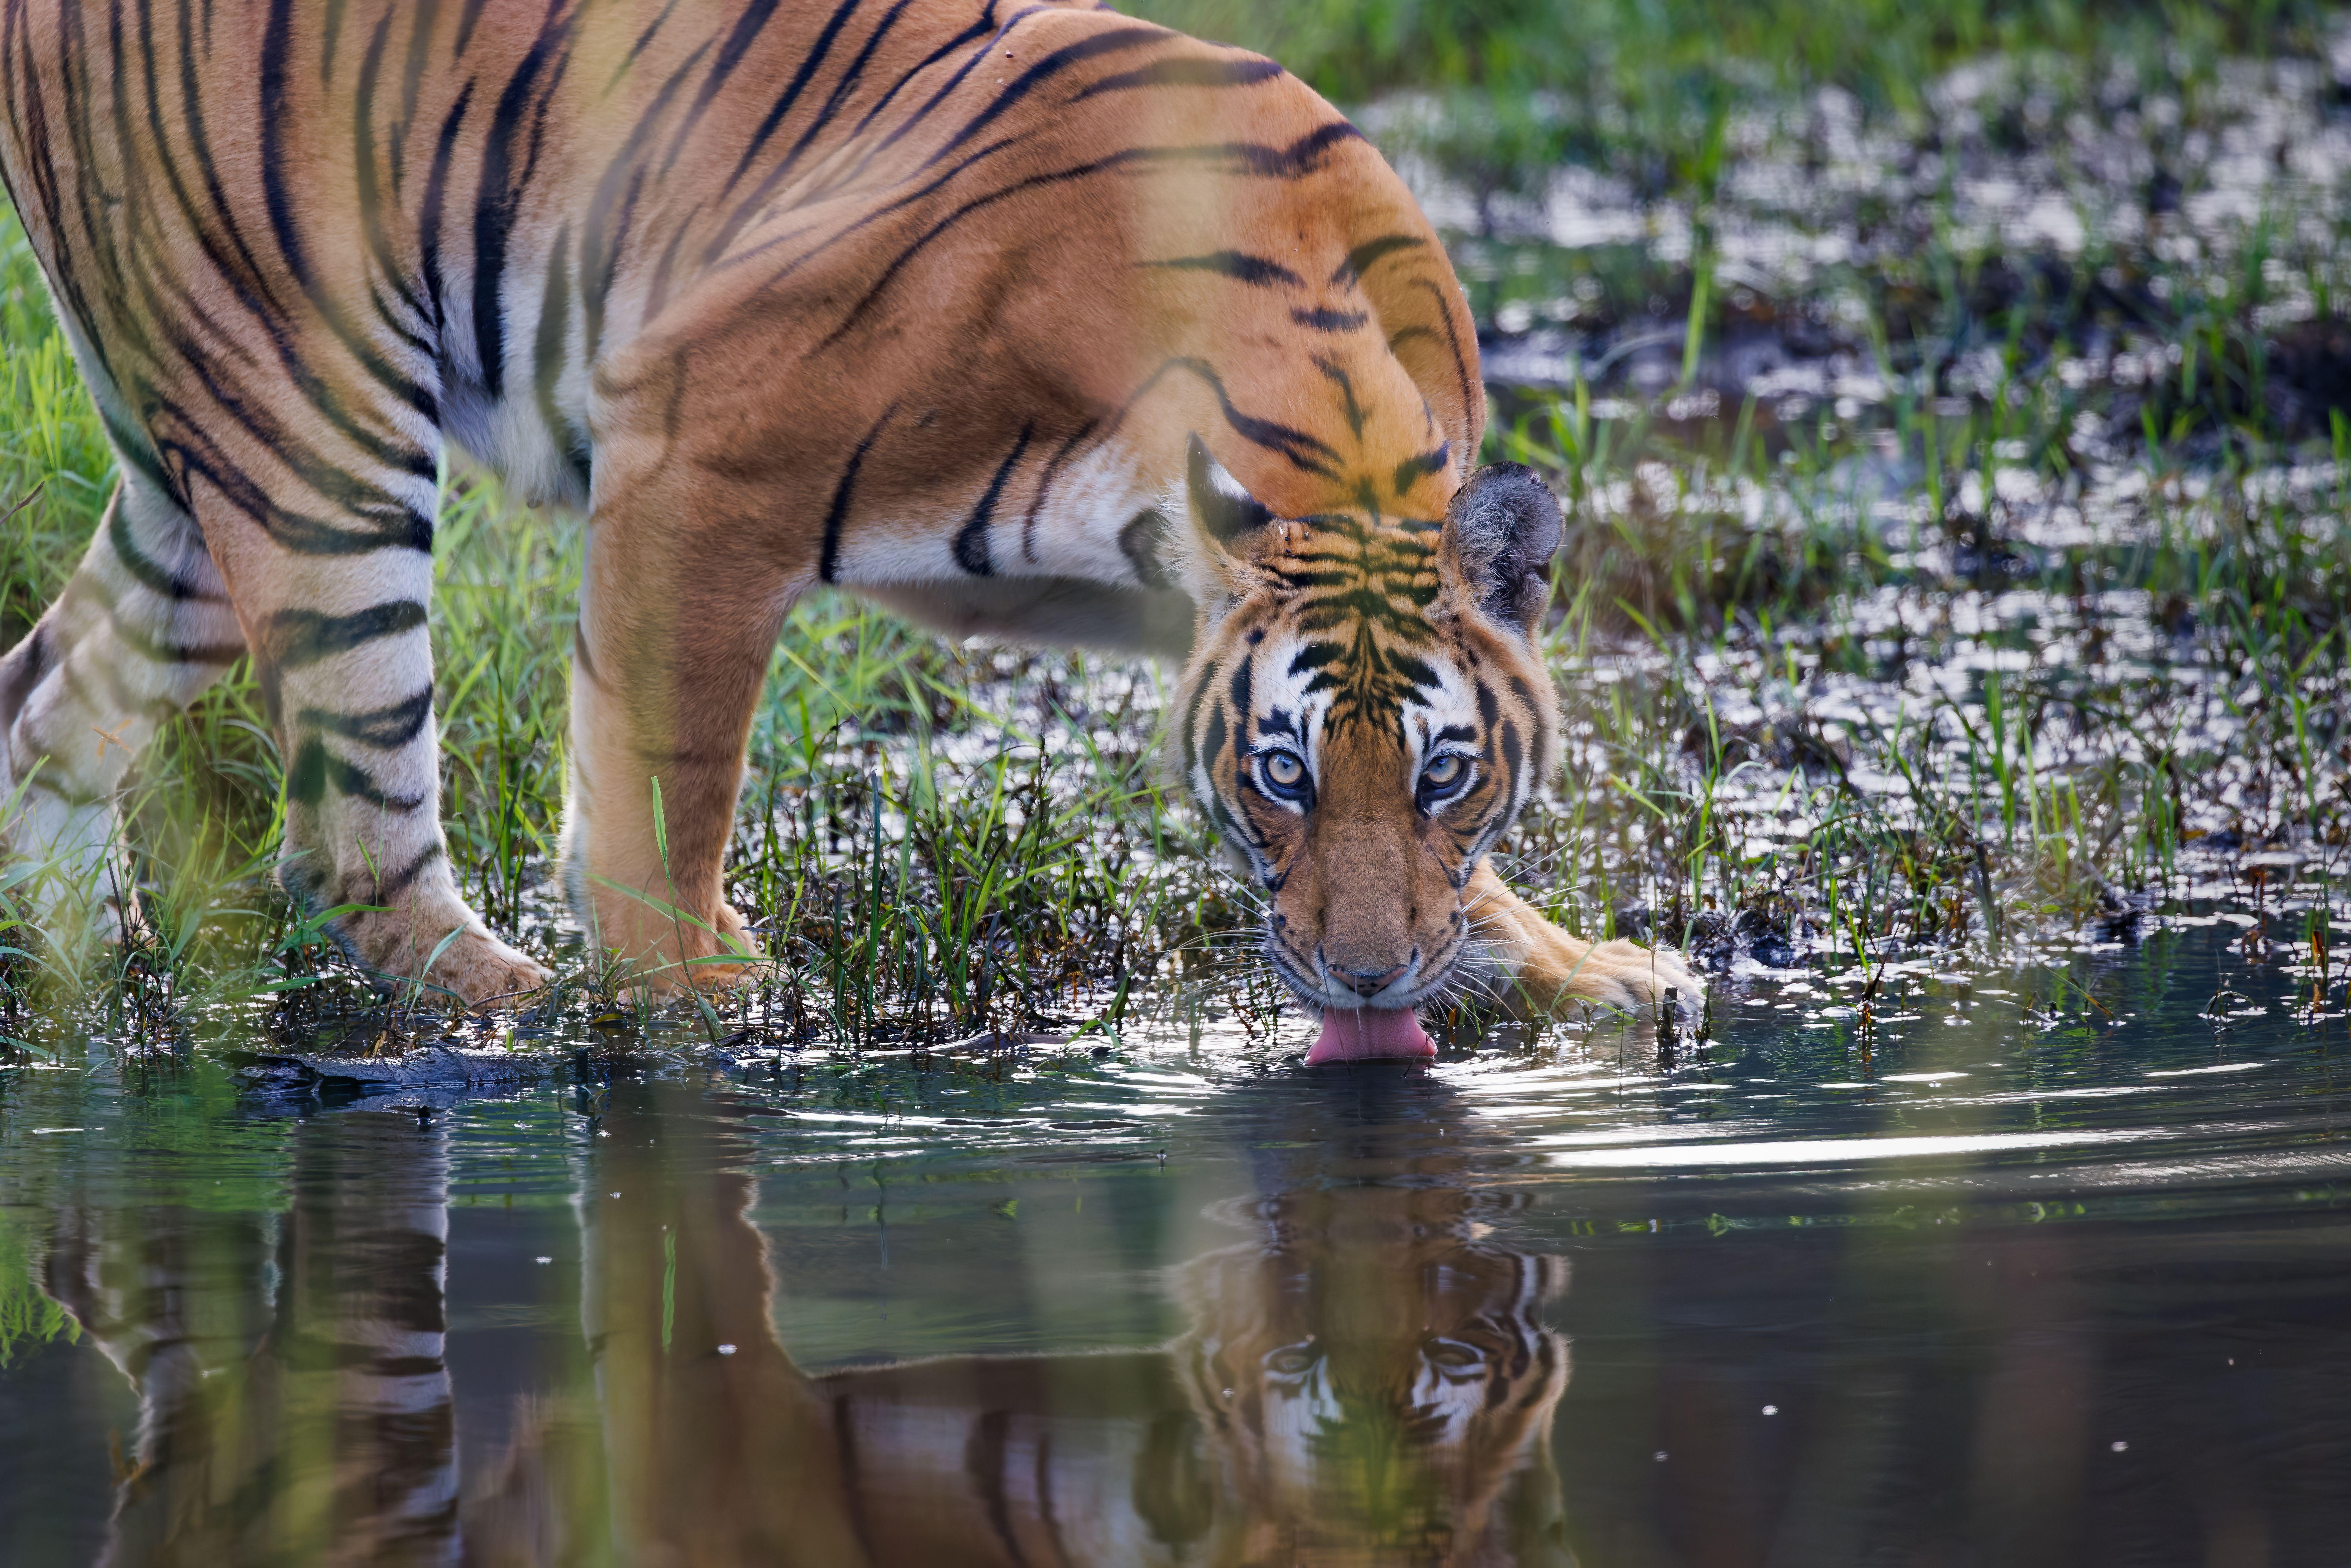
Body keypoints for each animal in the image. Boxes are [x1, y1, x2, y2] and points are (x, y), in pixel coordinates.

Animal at [0, 0, 1699, 1047]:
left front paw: (1600, 975)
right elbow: (665, 783)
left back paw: (85, 988)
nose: (1363, 980)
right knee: (353, 838)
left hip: (193, 480)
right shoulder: (698, 447)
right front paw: (702, 1005)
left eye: (1442, 775)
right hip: (320, 433)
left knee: (42, 709)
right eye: (1277, 772)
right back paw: (518, 1012)